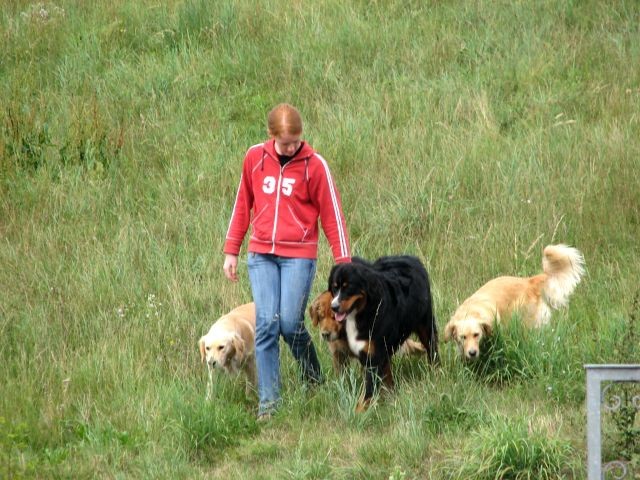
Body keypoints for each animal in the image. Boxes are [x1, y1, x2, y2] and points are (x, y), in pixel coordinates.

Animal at [328, 256, 438, 410]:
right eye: (334, 287)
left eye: (348, 287)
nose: (334, 307)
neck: (363, 313)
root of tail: (411, 258)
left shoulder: (373, 357)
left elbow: (367, 392)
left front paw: (358, 412)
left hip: (425, 327)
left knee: (433, 352)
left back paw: (436, 373)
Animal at [444, 244, 584, 360]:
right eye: (463, 337)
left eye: (476, 334)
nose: (472, 353)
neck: (471, 311)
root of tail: (529, 281)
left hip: (528, 325)